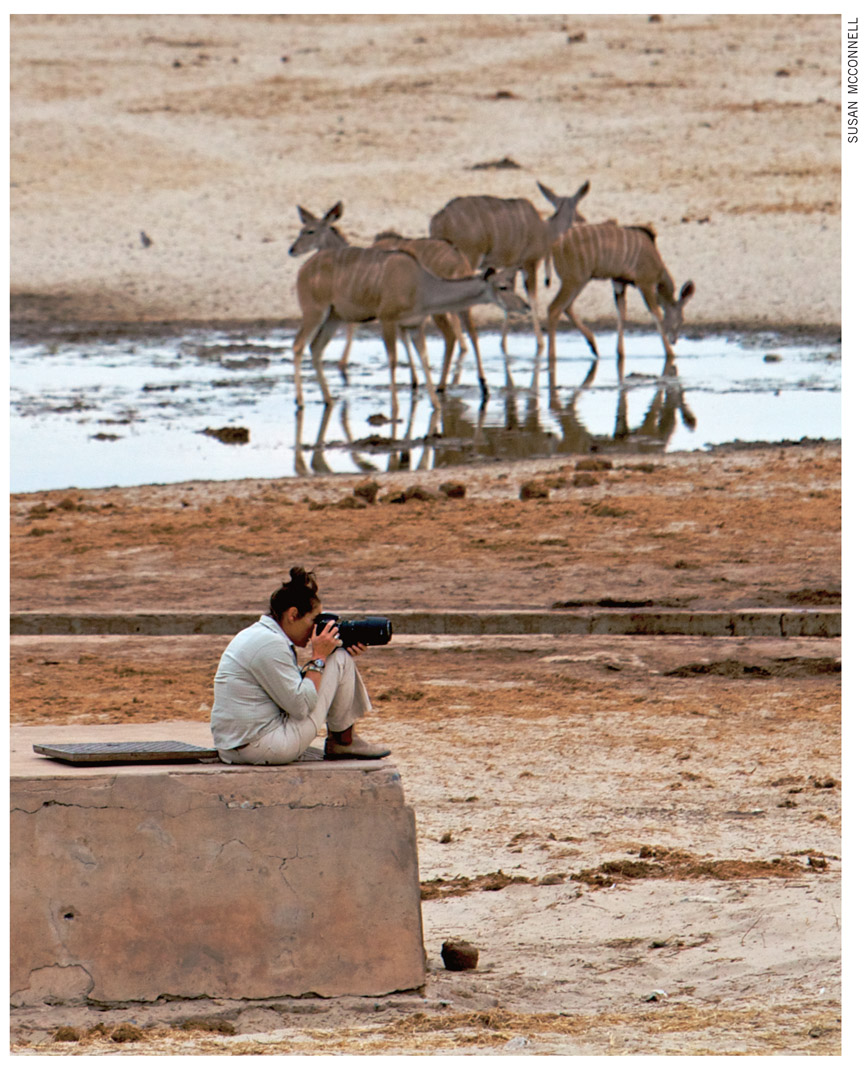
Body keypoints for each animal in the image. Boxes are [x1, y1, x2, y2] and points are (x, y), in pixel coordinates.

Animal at [291, 243, 524, 410]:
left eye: (512, 285)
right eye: (502, 287)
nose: (524, 306)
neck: (422, 286)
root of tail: (303, 269)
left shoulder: (414, 325)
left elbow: (424, 358)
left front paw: (436, 404)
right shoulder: (387, 319)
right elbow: (393, 360)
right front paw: (394, 407)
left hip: (334, 317)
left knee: (315, 348)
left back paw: (328, 400)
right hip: (314, 312)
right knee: (298, 345)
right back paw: (300, 402)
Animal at [427, 180, 591, 354]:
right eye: (576, 205)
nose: (582, 219)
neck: (545, 230)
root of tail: (439, 220)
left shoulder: (512, 266)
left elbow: (509, 295)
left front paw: (503, 344)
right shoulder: (529, 263)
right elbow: (532, 299)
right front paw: (540, 342)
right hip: (468, 259)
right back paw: (463, 346)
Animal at [548, 219, 699, 384]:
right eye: (682, 319)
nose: (674, 340)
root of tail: (555, 246)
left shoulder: (619, 282)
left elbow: (622, 312)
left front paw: (620, 354)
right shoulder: (645, 283)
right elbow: (656, 314)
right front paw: (670, 353)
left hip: (579, 280)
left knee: (566, 307)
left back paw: (593, 346)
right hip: (575, 280)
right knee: (554, 308)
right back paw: (552, 357)